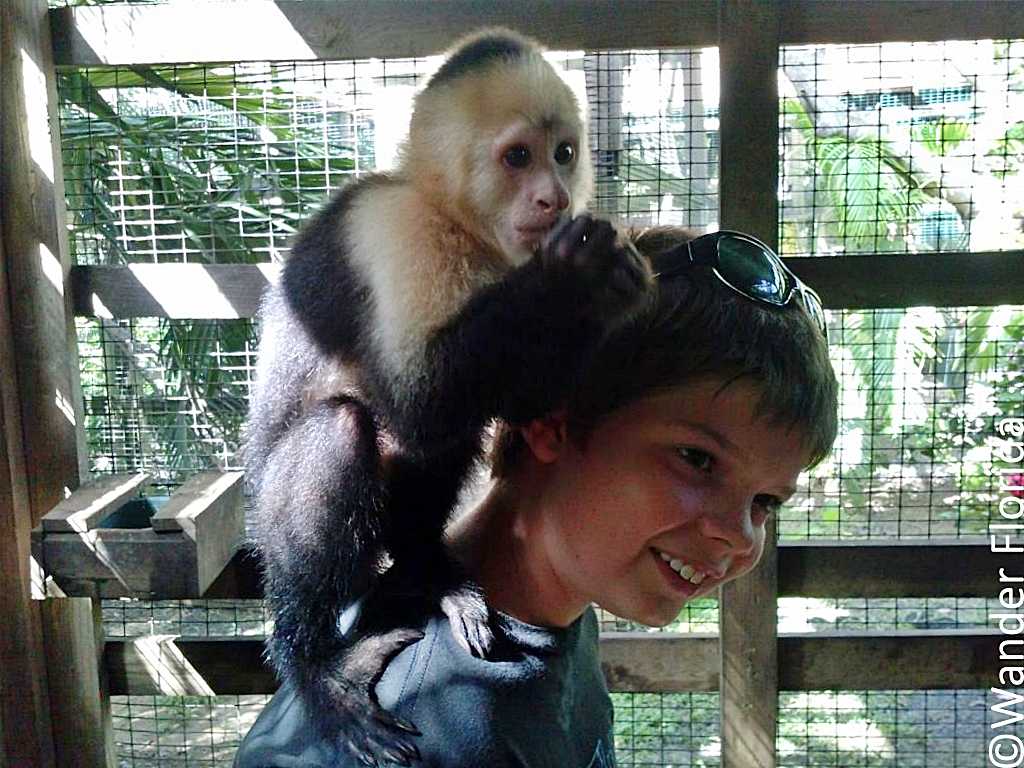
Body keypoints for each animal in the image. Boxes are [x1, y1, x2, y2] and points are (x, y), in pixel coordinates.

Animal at [243, 27, 651, 765]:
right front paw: (576, 272)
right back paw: (316, 670)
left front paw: (614, 285)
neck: (457, 221)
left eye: (563, 153)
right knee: (346, 429)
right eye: (518, 157)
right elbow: (418, 399)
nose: (554, 198)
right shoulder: (398, 231)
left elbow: (512, 408)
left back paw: (427, 568)